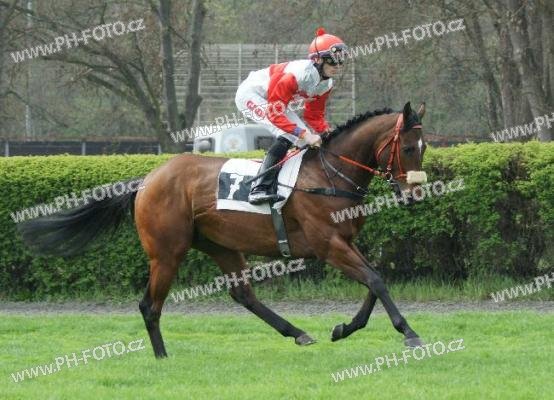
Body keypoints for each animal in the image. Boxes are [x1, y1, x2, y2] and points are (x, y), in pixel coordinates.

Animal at [19, 101, 427, 358]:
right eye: (408, 148)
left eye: (424, 148)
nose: (415, 194)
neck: (327, 175)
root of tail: (147, 180)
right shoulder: (328, 244)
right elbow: (375, 280)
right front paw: (409, 333)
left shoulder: (344, 241)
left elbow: (374, 279)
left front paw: (344, 328)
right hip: (167, 252)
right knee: (149, 304)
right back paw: (162, 357)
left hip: (221, 245)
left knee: (243, 295)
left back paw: (297, 333)